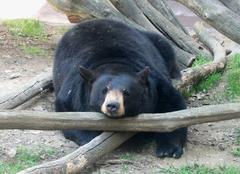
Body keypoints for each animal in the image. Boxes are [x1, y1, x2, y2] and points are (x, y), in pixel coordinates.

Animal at [53, 18, 188, 158]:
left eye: (126, 92)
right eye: (104, 90)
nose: (112, 105)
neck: (114, 62)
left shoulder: (156, 86)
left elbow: (172, 108)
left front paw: (169, 149)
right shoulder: (74, 89)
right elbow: (68, 112)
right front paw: (89, 138)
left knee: (165, 46)